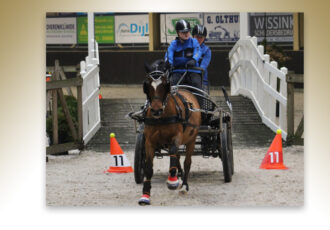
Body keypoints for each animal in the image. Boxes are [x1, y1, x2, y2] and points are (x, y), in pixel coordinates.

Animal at [137, 60, 201, 206]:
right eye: (147, 85)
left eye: (165, 84)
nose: (156, 110)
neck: (162, 117)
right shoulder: (149, 142)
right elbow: (148, 168)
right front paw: (145, 195)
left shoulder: (176, 137)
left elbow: (173, 153)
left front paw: (172, 182)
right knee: (177, 156)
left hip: (191, 139)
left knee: (187, 162)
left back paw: (183, 185)